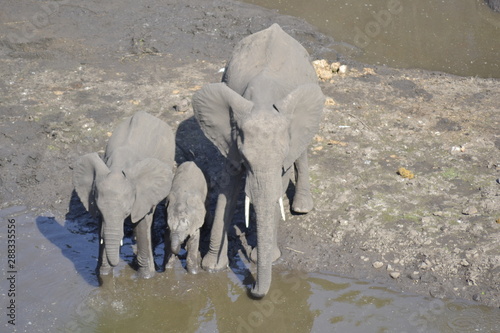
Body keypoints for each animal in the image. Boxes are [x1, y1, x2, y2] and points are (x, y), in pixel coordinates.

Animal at [73, 111, 175, 278]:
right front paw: (104, 274)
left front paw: (146, 276)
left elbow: (141, 224)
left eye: (127, 211)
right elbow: (102, 227)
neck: (117, 166)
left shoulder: (140, 196)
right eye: (100, 210)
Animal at [191, 24, 324, 298]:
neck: (262, 104)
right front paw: (212, 267)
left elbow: (278, 187)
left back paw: (301, 208)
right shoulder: (231, 141)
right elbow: (227, 185)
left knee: (302, 150)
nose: (251, 288)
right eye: (246, 159)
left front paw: (266, 258)